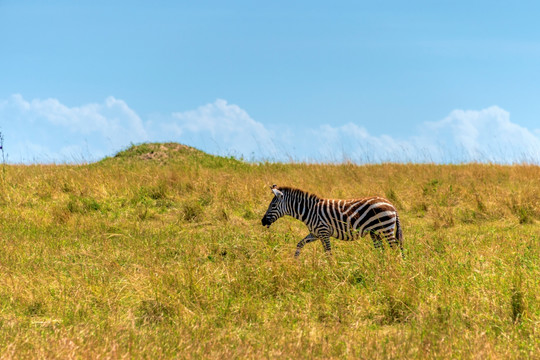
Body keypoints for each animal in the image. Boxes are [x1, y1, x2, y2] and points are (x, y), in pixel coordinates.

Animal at [260, 184, 402, 258]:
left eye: (273, 205)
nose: (262, 221)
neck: (310, 211)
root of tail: (391, 205)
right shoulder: (315, 234)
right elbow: (300, 244)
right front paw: (295, 261)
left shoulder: (324, 232)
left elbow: (328, 253)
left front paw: (331, 270)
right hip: (375, 232)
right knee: (381, 249)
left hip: (386, 228)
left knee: (395, 248)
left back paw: (393, 267)